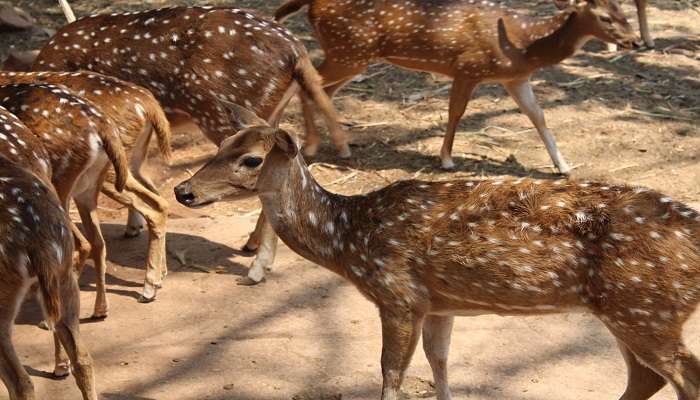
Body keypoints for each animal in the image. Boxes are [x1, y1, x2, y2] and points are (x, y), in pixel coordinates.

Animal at [176, 106, 700, 400]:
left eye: (251, 160)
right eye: (220, 143)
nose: (183, 190)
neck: (348, 238)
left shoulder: (397, 294)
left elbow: (391, 374)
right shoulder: (439, 303)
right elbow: (440, 364)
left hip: (644, 307)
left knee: (683, 378)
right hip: (629, 309)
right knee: (647, 379)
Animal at [276, 0, 644, 172]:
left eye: (622, 10)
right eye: (605, 17)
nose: (635, 42)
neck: (524, 44)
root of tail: (311, 5)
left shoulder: (515, 78)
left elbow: (538, 116)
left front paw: (564, 166)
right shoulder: (468, 67)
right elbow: (456, 113)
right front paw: (447, 159)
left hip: (353, 55)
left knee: (321, 89)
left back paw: (324, 143)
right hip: (349, 51)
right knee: (309, 82)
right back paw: (321, 144)